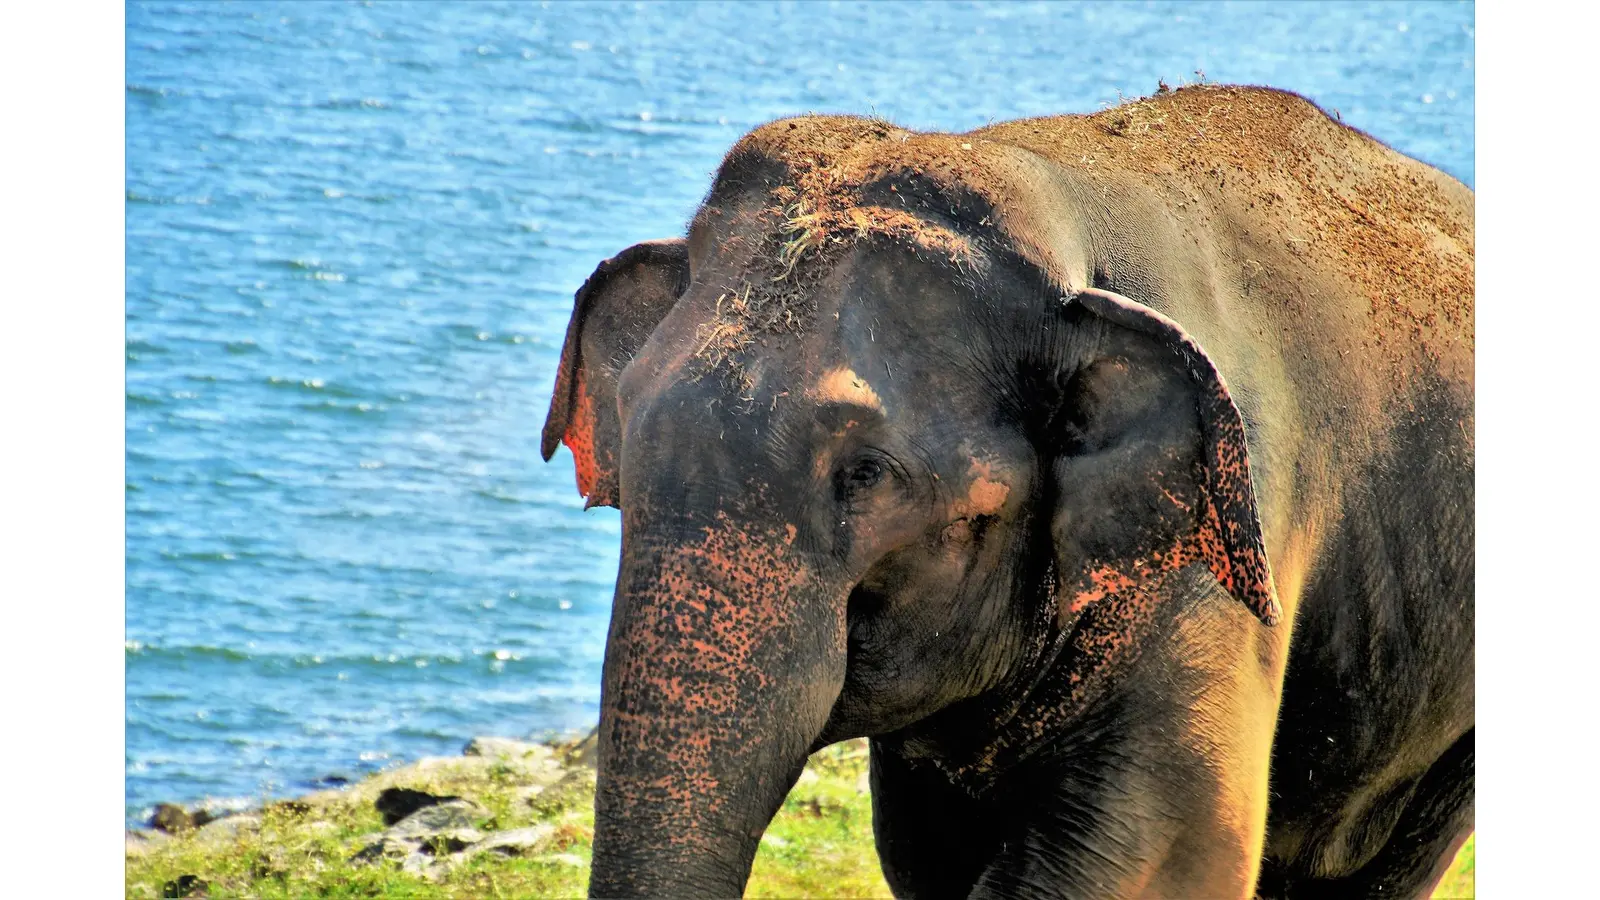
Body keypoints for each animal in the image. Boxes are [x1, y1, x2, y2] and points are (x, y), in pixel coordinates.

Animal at [540, 85, 1472, 896]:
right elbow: (925, 851)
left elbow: (1174, 847)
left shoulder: (1226, 545)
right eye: (631, 430)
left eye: (866, 476)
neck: (1058, 197)